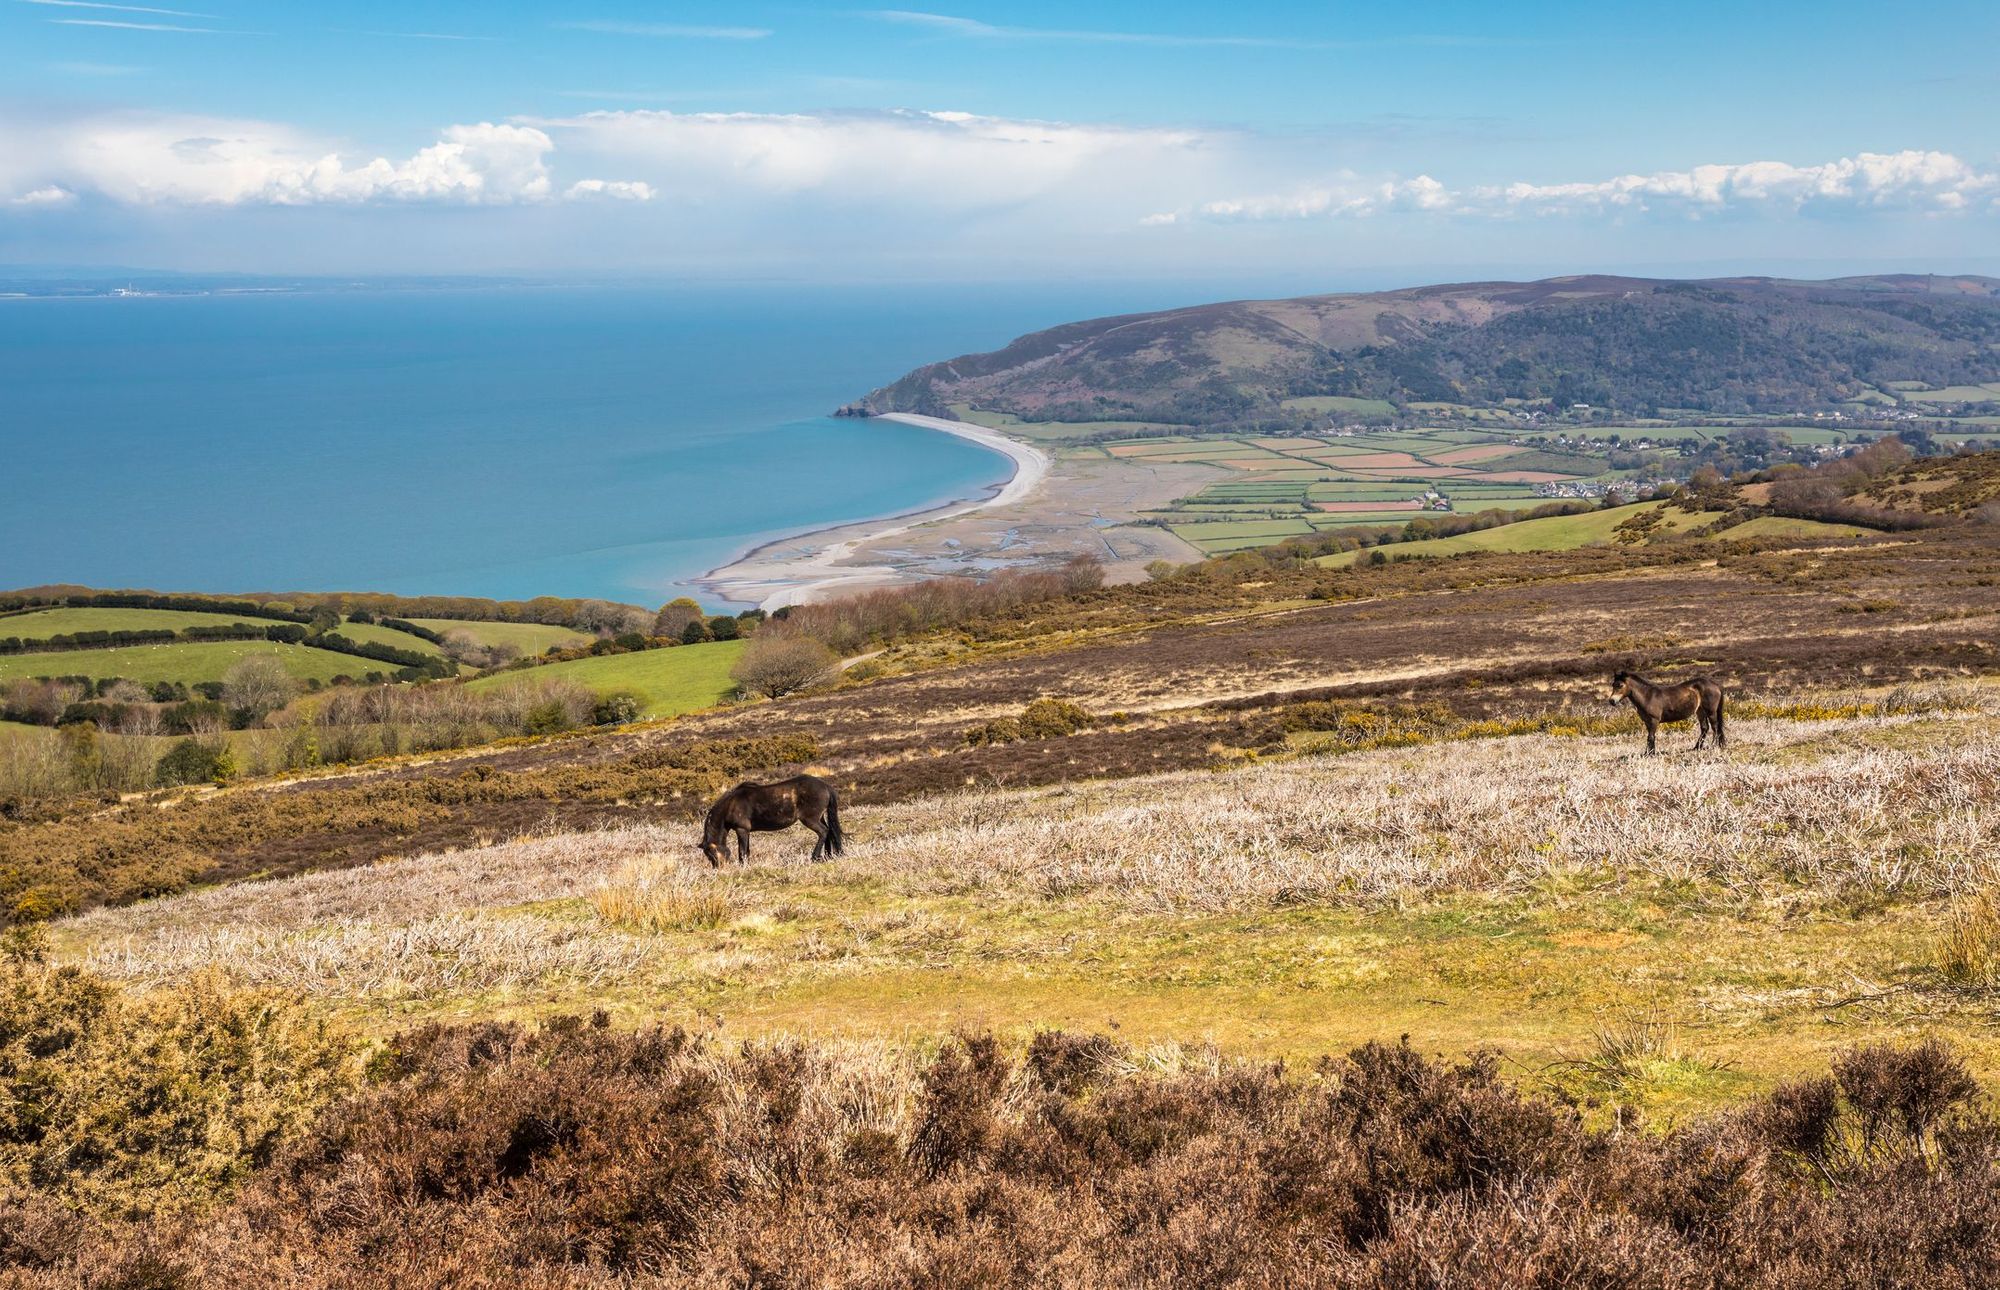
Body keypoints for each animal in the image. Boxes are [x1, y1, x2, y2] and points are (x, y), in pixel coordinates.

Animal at [700, 776, 840, 864]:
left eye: (712, 854)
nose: (719, 869)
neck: (730, 805)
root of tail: (825, 786)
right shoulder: (746, 831)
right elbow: (747, 850)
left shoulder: (741, 830)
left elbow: (742, 851)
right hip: (820, 817)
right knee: (828, 832)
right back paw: (828, 855)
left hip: (810, 820)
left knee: (823, 832)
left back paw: (815, 857)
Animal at [1600, 668, 1728, 748]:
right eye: (1613, 685)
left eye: (1620, 685)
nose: (1612, 701)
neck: (1648, 696)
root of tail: (1715, 684)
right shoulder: (1647, 722)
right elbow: (1650, 737)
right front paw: (1649, 753)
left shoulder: (1654, 720)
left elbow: (1651, 737)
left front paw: (1650, 754)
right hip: (1700, 711)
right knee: (1705, 728)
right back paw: (1697, 747)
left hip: (1711, 711)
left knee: (1715, 728)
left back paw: (1712, 746)